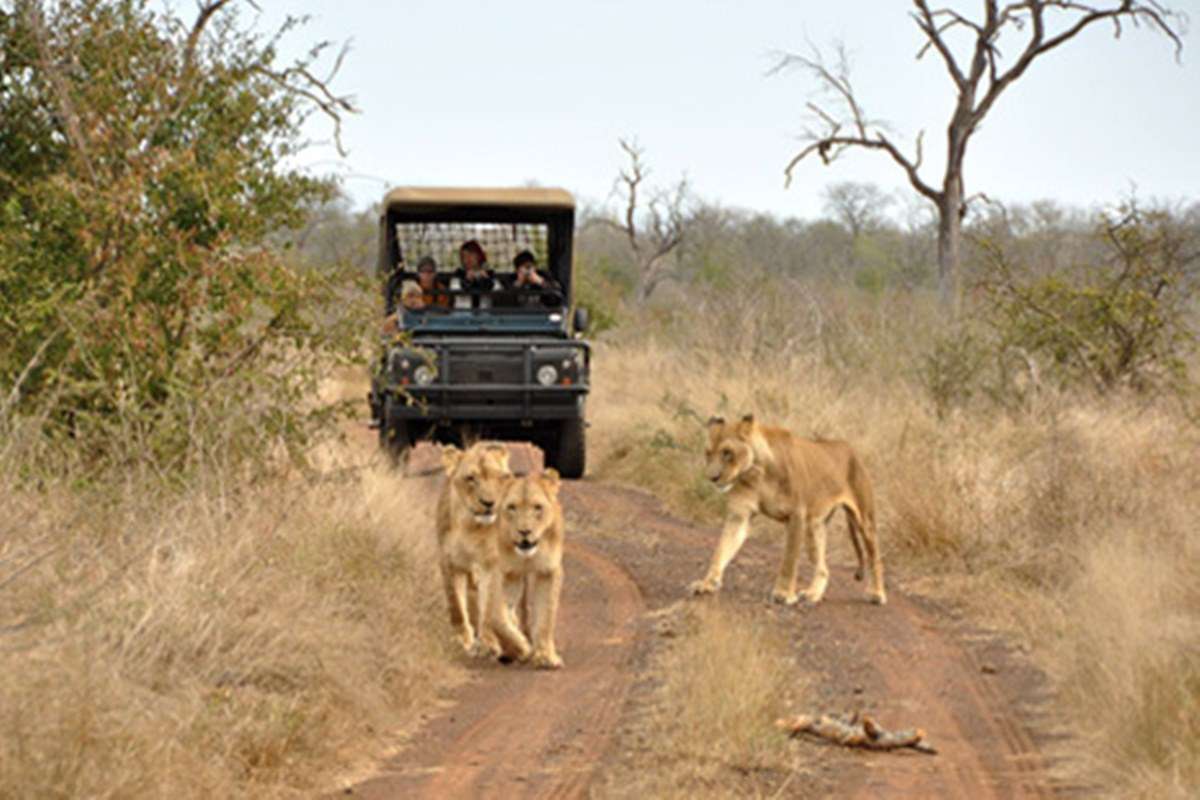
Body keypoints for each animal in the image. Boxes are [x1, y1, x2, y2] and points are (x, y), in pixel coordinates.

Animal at [436, 441, 530, 662]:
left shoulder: (491, 565)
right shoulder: (449, 562)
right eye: (471, 478)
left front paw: (490, 643)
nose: (489, 503)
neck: (470, 526)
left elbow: (489, 608)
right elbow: (456, 605)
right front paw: (462, 639)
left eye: (501, 477)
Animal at [499, 470, 568, 671]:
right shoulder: (507, 572)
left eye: (538, 507)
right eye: (512, 507)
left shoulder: (548, 571)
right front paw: (517, 647)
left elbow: (546, 614)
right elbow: (500, 617)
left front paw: (545, 656)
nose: (524, 532)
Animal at [691, 412, 888, 606]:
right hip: (813, 528)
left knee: (875, 557)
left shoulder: (796, 515)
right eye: (708, 453)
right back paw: (812, 594)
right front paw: (707, 584)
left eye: (727, 453)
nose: (712, 477)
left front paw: (783, 594)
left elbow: (789, 559)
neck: (756, 472)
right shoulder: (740, 515)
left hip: (864, 520)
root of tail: (848, 447)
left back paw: (877, 594)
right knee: (823, 568)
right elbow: (721, 550)